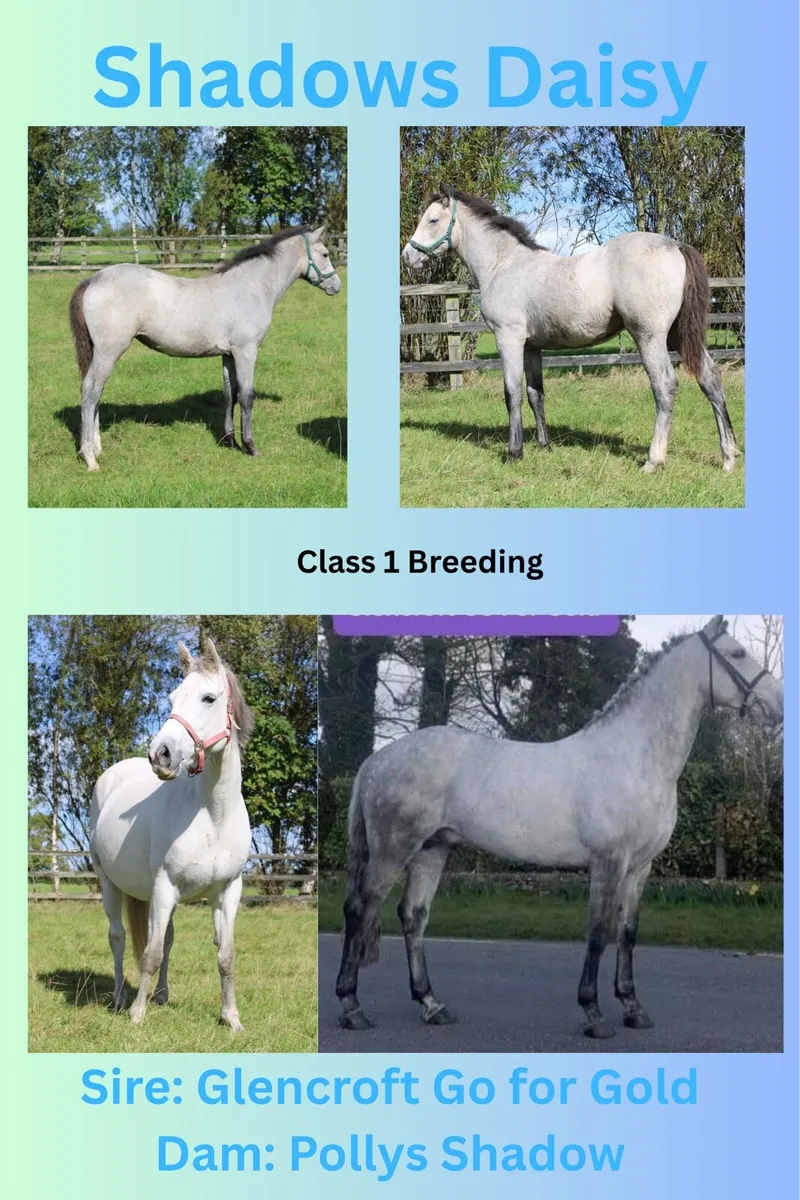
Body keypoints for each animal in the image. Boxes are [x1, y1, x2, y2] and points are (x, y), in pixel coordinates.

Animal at [69, 226, 341, 470]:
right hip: (109, 351)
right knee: (91, 390)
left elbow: (230, 395)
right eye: (325, 253)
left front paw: (230, 441)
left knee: (96, 392)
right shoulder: (246, 351)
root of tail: (93, 278)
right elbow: (247, 396)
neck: (249, 288)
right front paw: (251, 447)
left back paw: (97, 448)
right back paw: (90, 457)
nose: (336, 287)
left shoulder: (228, 355)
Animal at [89, 639, 254, 1028]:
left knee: (166, 939)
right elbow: (148, 954)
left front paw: (232, 1019)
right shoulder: (164, 889)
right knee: (118, 937)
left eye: (209, 698)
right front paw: (136, 1016)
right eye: (173, 697)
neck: (213, 817)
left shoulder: (228, 893)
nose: (160, 754)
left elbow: (225, 957)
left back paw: (161, 995)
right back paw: (120, 998)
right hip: (109, 882)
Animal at [335, 617, 782, 1039]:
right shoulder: (608, 862)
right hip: (393, 850)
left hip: (432, 849)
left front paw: (633, 1009)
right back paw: (352, 1008)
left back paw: (431, 1004)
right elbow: (599, 932)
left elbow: (628, 932)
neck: (636, 758)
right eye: (738, 653)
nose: (777, 705)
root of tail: (377, 760)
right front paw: (594, 1014)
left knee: (413, 916)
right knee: (360, 909)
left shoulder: (640, 868)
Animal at [402, 187, 738, 473]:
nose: (407, 256)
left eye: (433, 220)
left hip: (650, 336)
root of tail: (676, 245)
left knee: (665, 386)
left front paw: (514, 453)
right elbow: (535, 393)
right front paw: (545, 445)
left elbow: (512, 394)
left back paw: (654, 461)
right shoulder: (531, 346)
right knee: (710, 378)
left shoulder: (508, 338)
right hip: (678, 334)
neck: (504, 265)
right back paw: (728, 457)